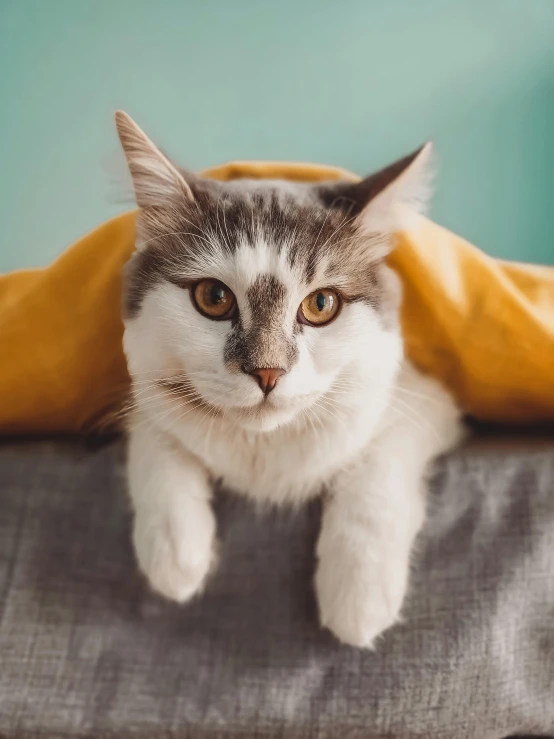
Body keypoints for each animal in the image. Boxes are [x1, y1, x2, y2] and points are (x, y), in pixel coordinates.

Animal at [115, 110, 462, 648]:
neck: (264, 454)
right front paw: (176, 556)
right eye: (213, 297)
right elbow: (155, 439)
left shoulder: (423, 399)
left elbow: (376, 476)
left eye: (321, 304)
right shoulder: (145, 391)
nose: (268, 371)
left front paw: (358, 600)